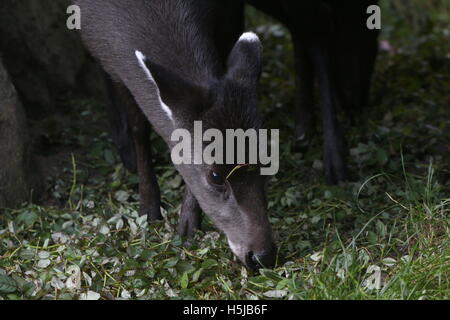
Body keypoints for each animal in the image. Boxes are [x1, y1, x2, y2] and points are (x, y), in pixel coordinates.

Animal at [74, 0, 274, 270]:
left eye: (265, 158)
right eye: (214, 176)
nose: (263, 256)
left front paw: (187, 226)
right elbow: (139, 126)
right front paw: (149, 209)